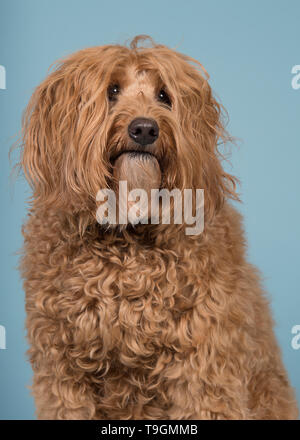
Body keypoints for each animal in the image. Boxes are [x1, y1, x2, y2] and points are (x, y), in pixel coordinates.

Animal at [18, 34, 298, 420]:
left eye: (164, 96)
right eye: (112, 90)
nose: (145, 129)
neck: (127, 235)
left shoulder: (203, 367)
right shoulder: (62, 372)